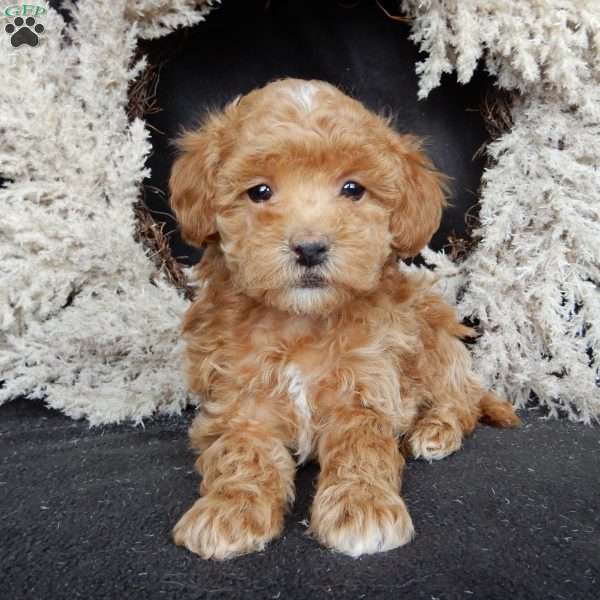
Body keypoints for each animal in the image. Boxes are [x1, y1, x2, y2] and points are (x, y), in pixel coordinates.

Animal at [168, 77, 516, 560]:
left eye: (353, 189)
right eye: (260, 192)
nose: (310, 247)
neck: (301, 320)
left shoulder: (366, 388)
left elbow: (361, 447)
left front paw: (362, 506)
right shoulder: (240, 399)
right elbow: (240, 450)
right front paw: (230, 508)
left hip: (433, 334)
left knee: (460, 397)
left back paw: (436, 430)